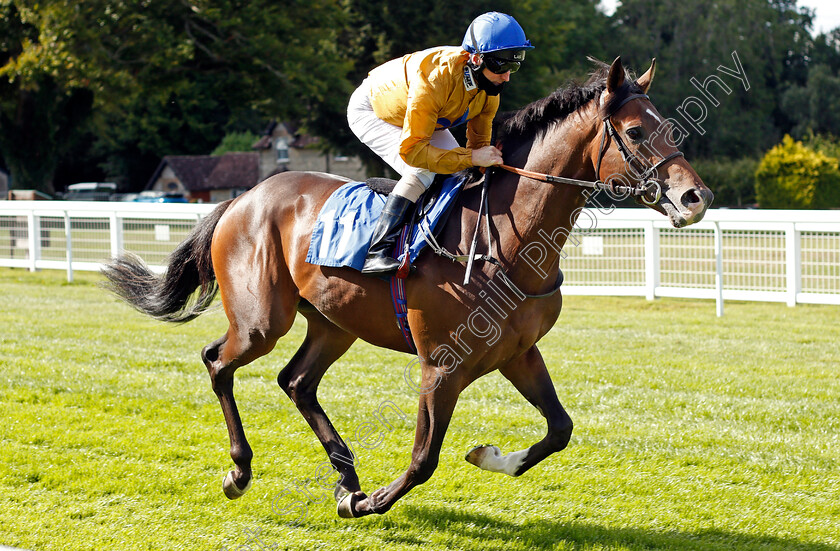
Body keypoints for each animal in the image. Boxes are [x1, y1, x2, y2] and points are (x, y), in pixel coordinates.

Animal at [101, 58, 712, 520]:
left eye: (670, 128)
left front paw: (490, 457)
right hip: (261, 321)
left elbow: (560, 428)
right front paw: (369, 503)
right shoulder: (441, 365)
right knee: (217, 361)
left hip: (333, 322)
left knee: (296, 381)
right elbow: (423, 460)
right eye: (634, 132)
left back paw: (344, 474)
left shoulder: (518, 352)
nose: (695, 198)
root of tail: (244, 197)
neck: (506, 239)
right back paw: (242, 469)